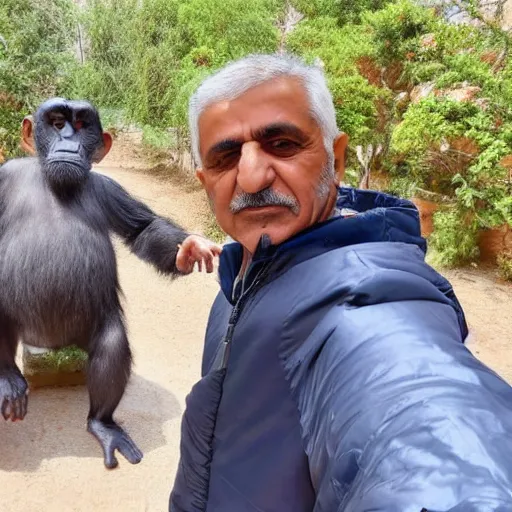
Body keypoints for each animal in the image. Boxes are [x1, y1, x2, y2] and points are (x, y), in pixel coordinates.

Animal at [0, 96, 222, 468]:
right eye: (57, 122)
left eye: (81, 124)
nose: (69, 140)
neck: (55, 185)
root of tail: (51, 345)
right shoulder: (4, 179)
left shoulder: (108, 190)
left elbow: (142, 229)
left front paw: (189, 250)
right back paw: (8, 378)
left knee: (111, 345)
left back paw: (102, 423)